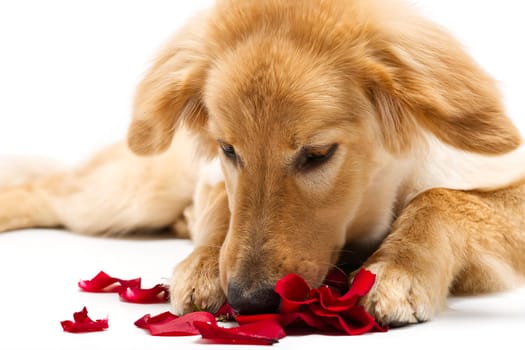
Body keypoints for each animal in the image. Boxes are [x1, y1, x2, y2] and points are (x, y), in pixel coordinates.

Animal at [1, 0, 524, 326]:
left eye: (317, 154)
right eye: (229, 149)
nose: (248, 301)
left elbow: (441, 200)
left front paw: (398, 270)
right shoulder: (214, 176)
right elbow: (224, 212)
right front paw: (205, 266)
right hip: (128, 196)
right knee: (45, 189)